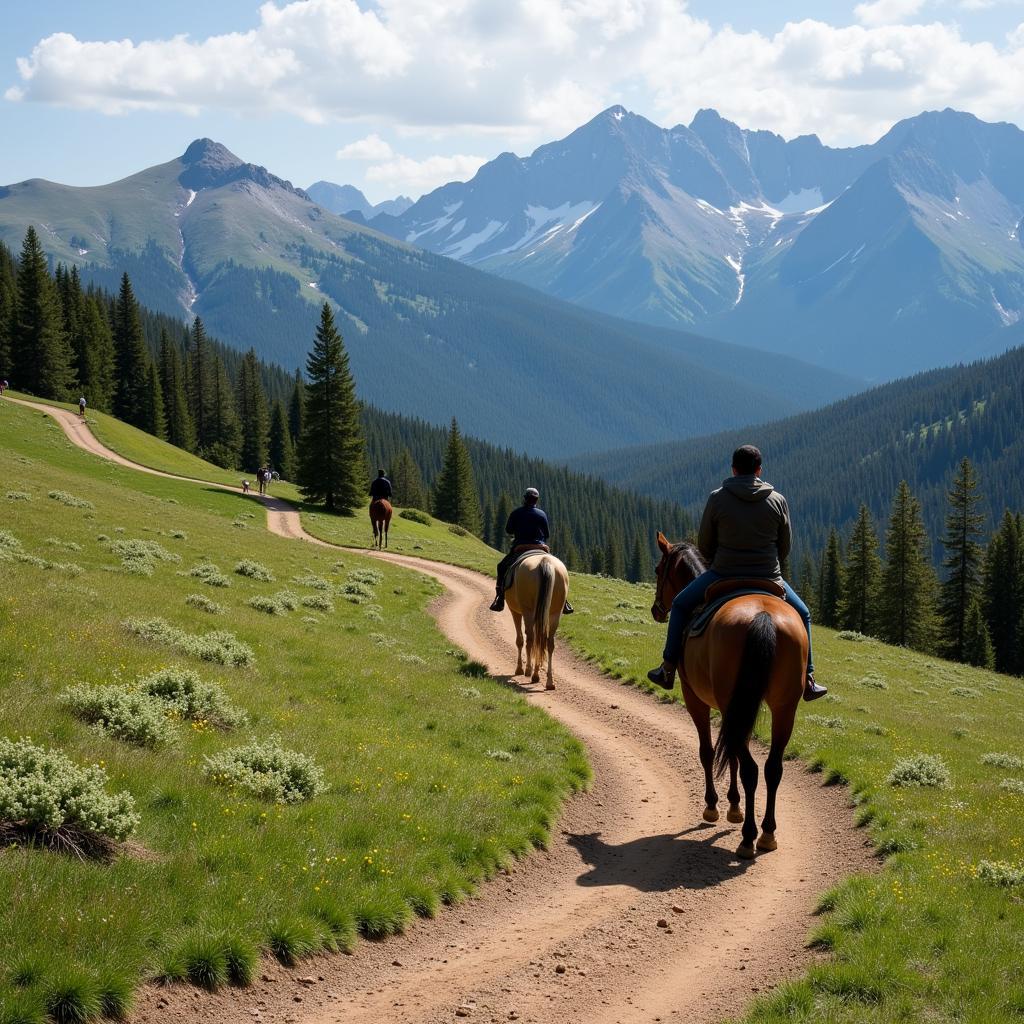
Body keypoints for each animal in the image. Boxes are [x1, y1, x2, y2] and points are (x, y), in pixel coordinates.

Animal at [501, 552, 569, 688]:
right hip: (554, 613)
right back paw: (548, 681)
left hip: (528, 611)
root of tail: (545, 562)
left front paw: (519, 669)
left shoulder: (515, 611)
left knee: (531, 638)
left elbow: (520, 640)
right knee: (547, 642)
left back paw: (529, 671)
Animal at [647, 532, 806, 860]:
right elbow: (731, 751)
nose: (656, 610)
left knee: (751, 768)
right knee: (772, 768)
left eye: (658, 569)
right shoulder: (734, 709)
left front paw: (713, 806)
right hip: (785, 707)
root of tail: (763, 616)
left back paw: (748, 838)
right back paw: (767, 833)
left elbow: (708, 751)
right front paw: (734, 806)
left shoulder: (696, 700)